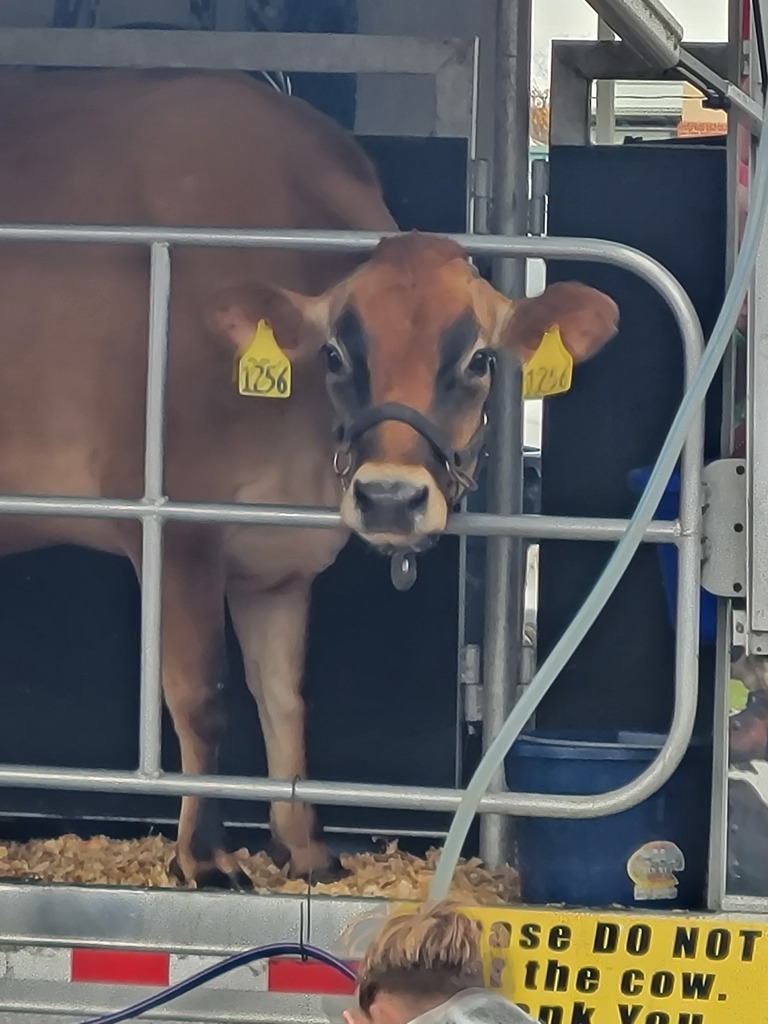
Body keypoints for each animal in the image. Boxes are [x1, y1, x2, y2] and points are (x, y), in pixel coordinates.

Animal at [0, 68, 619, 889]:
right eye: (335, 354)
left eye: (480, 361)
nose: (389, 496)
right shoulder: (176, 527)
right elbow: (200, 696)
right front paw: (203, 856)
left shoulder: (278, 564)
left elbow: (284, 700)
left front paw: (303, 848)